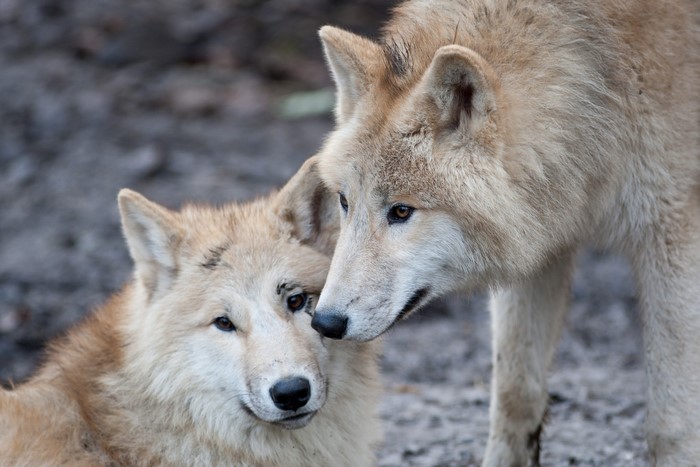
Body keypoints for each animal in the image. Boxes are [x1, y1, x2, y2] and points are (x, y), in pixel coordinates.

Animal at [309, 0, 700, 464]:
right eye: (344, 202)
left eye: (401, 211)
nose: (325, 322)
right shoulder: (539, 242)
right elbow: (515, 394)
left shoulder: (672, 233)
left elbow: (669, 422)